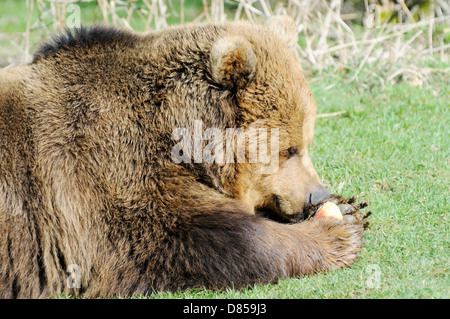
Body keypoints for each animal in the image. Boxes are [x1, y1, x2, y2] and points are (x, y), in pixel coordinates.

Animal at [0, 16, 366, 298]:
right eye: (288, 149)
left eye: (307, 141)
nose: (315, 195)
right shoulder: (107, 172)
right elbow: (192, 238)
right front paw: (339, 230)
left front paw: (349, 205)